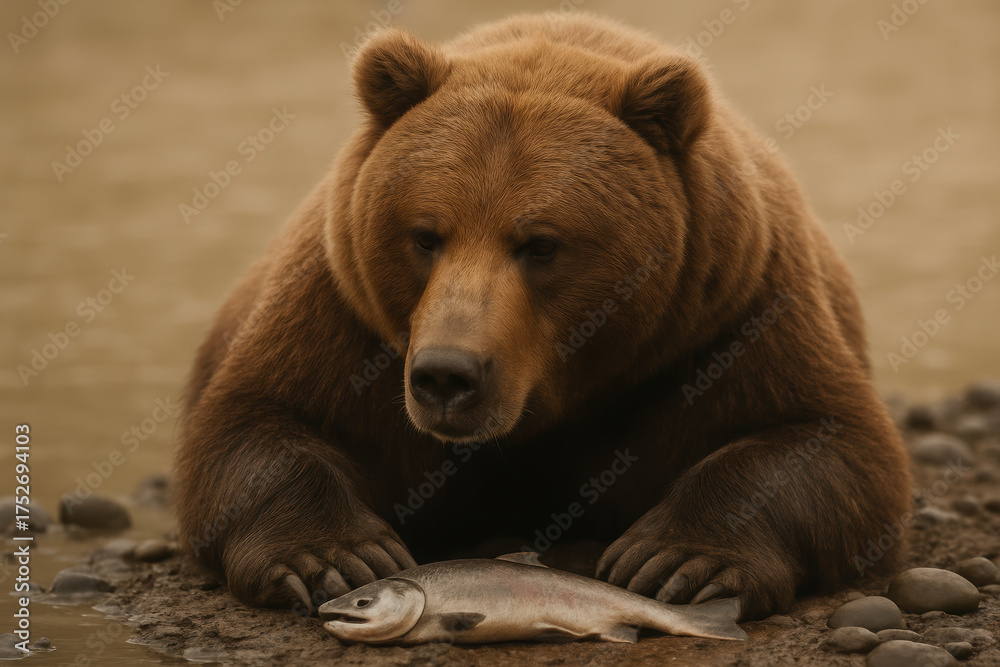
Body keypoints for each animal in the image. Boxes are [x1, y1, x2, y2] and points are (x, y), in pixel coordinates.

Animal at [175, 12, 911, 620]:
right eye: (425, 234)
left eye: (540, 243)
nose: (447, 375)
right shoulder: (346, 316)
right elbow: (257, 422)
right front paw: (336, 557)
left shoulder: (730, 313)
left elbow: (823, 438)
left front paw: (676, 559)